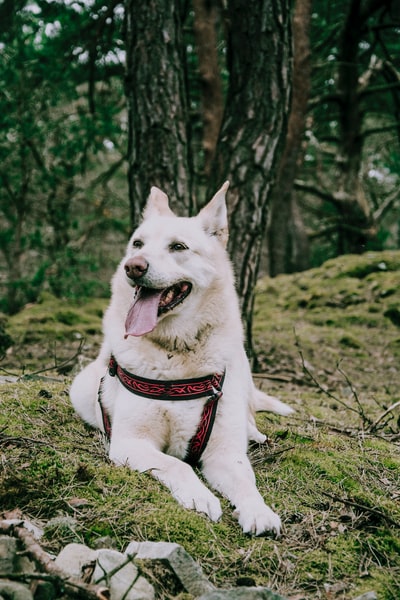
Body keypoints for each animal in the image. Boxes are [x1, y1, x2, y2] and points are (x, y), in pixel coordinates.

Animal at [70, 182, 292, 536]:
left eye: (178, 247)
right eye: (137, 244)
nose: (133, 266)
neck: (176, 352)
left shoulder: (224, 453)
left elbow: (247, 482)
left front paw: (259, 511)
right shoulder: (131, 443)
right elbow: (177, 464)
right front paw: (201, 497)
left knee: (249, 415)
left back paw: (254, 433)